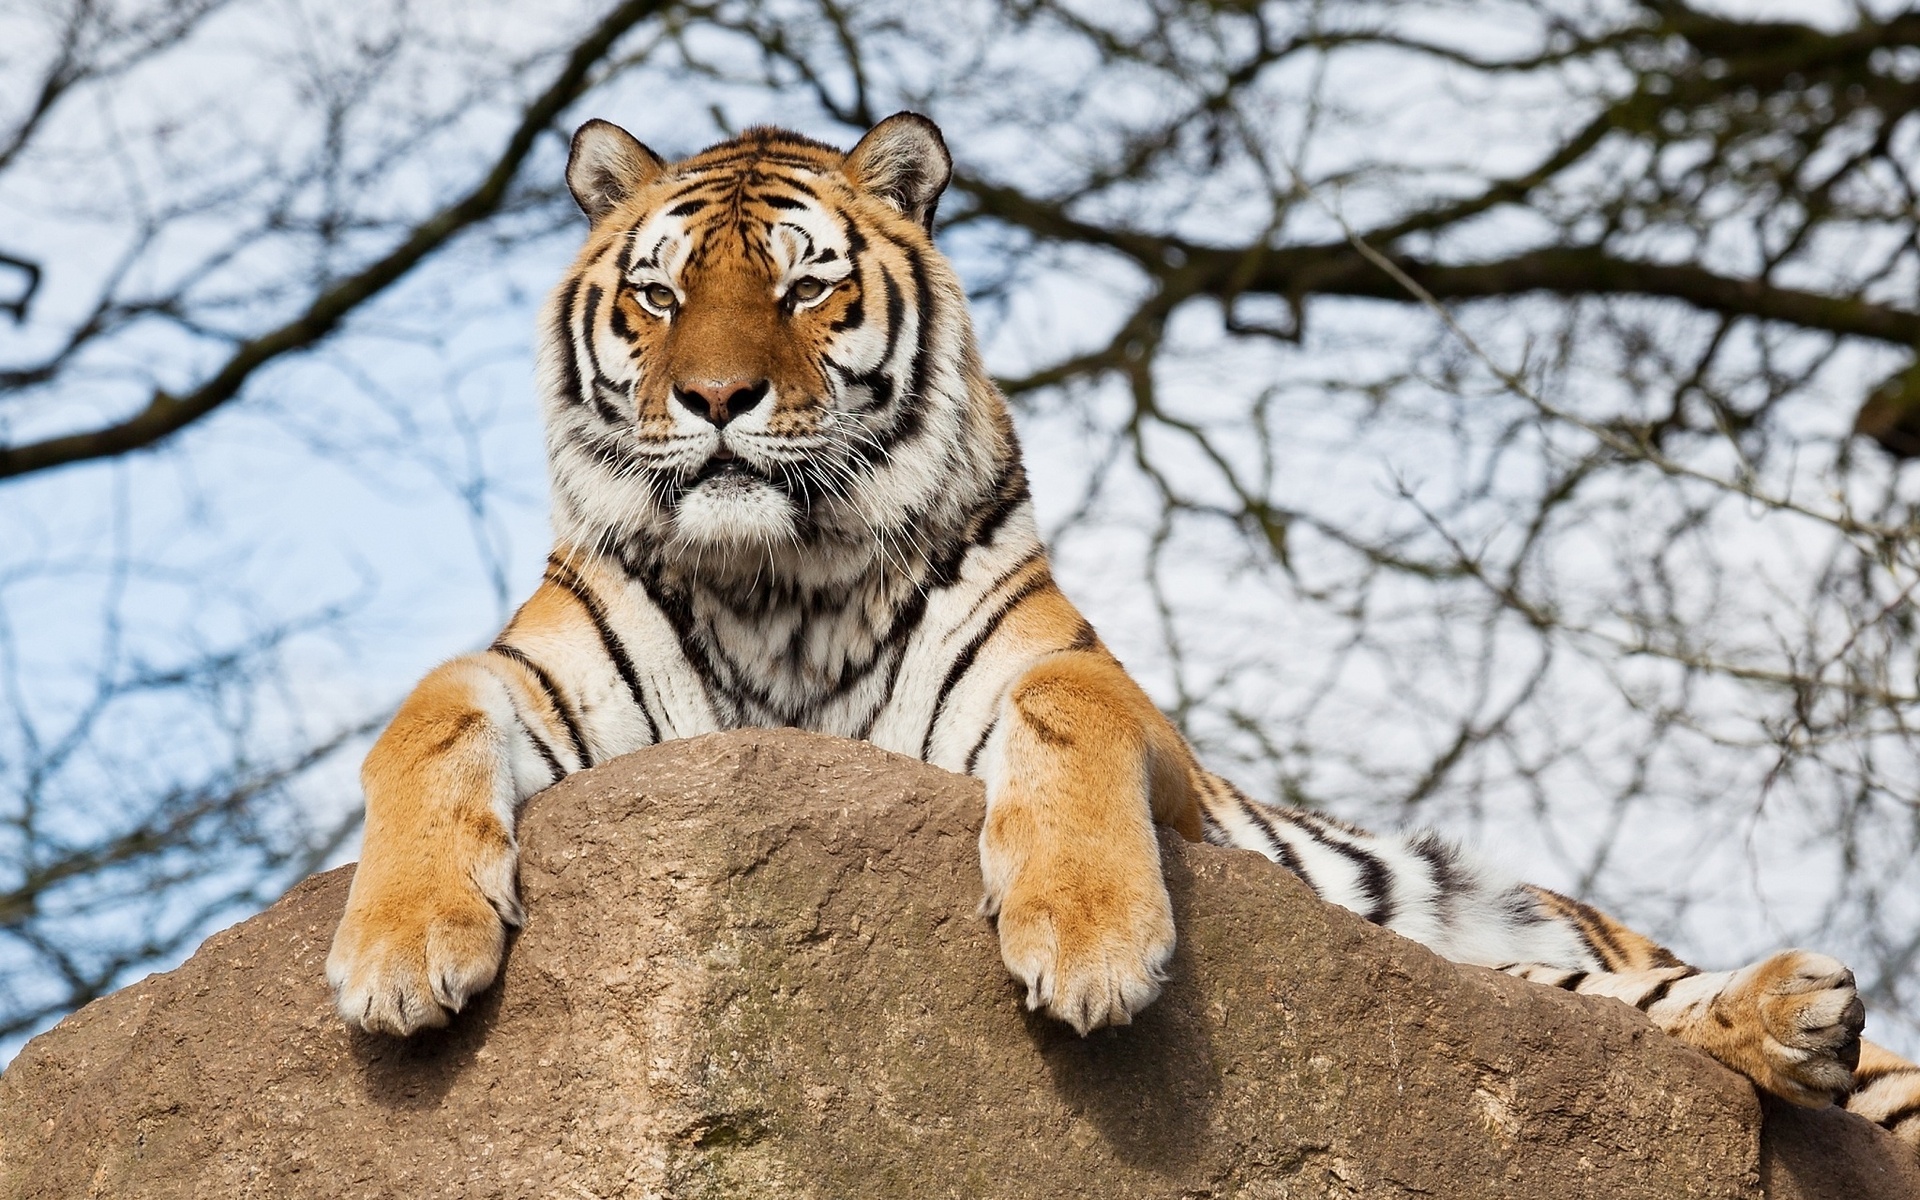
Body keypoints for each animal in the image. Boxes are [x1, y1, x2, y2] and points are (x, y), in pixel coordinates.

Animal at [322, 114, 1920, 1152]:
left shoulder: (1102, 703)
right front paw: (402, 954)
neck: (780, 581)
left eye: (802, 284)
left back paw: (1802, 1010)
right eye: (658, 297)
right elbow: (421, 716)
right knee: (1583, 1010)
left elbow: (1064, 716)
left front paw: (1089, 944)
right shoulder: (535, 672)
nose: (716, 400)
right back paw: (1787, 1025)